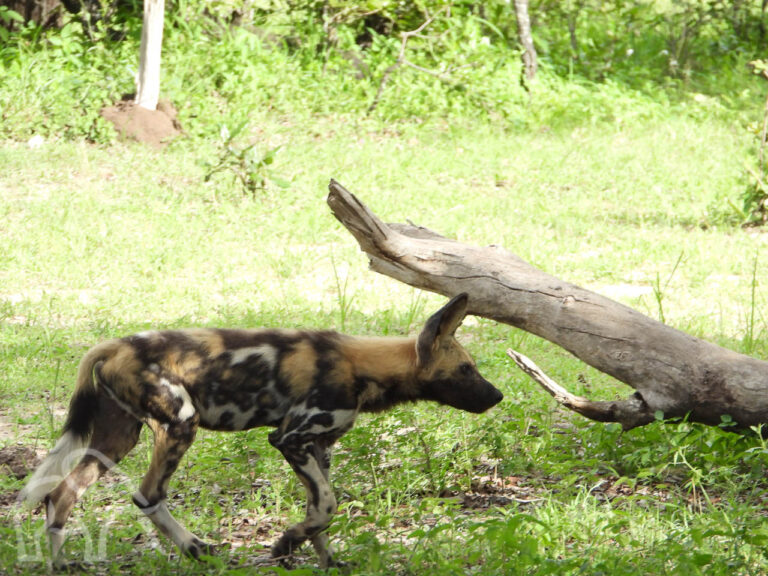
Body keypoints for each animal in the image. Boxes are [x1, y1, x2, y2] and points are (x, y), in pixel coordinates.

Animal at [19, 292, 504, 568]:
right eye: (466, 369)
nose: (497, 396)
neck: (363, 367)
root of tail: (113, 344)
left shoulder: (319, 448)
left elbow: (320, 510)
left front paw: (325, 559)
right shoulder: (289, 440)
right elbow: (327, 505)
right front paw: (284, 546)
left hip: (118, 438)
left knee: (61, 493)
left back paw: (60, 565)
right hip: (180, 424)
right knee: (146, 494)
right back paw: (196, 548)